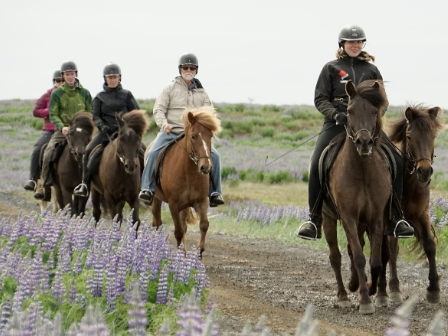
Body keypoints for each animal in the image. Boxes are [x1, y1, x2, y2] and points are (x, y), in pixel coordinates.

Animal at [148, 106, 221, 256]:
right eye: (193, 136)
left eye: (210, 136)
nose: (206, 167)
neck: (188, 173)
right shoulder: (173, 204)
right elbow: (178, 232)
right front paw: (180, 256)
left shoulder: (201, 201)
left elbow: (204, 225)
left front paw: (199, 253)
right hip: (156, 200)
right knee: (157, 223)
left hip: (185, 206)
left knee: (184, 226)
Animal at [322, 79, 392, 316]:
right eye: (350, 111)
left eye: (373, 111)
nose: (364, 142)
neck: (362, 172)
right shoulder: (349, 217)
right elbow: (360, 258)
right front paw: (364, 300)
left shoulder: (376, 218)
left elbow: (376, 261)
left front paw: (371, 290)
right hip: (329, 218)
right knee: (336, 256)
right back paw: (344, 295)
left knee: (355, 250)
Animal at [376, 105, 446, 304]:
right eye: (409, 136)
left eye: (433, 136)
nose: (424, 171)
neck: (409, 184)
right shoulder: (390, 221)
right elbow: (388, 252)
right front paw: (387, 290)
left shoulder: (422, 216)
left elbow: (430, 246)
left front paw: (433, 289)